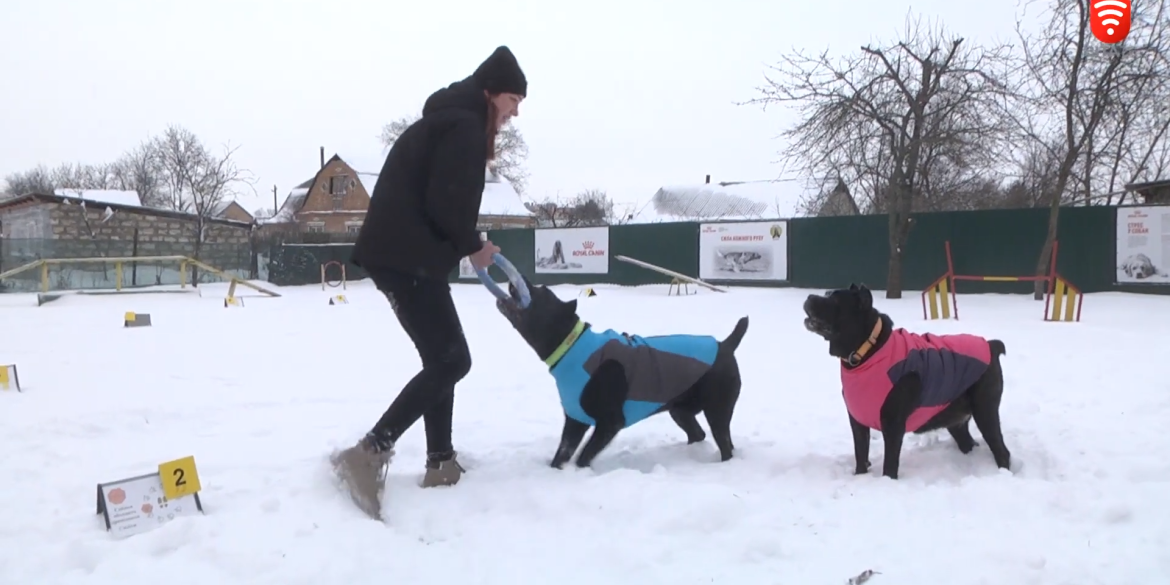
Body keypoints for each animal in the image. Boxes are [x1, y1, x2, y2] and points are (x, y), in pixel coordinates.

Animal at [493, 278, 748, 470]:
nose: (516, 281)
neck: (570, 345)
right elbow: (562, 454)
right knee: (698, 434)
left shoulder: (610, 422)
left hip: (717, 409)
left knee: (724, 444)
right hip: (680, 409)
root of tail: (725, 345)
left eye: (541, 293)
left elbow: (583, 456)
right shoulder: (575, 420)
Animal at [800, 283, 1010, 479]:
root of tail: (991, 345)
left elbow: (890, 463)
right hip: (955, 420)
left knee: (1002, 450)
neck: (867, 351)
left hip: (985, 411)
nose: (809, 296)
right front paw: (860, 476)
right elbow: (860, 453)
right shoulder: (857, 420)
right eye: (827, 294)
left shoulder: (893, 423)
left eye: (835, 301)